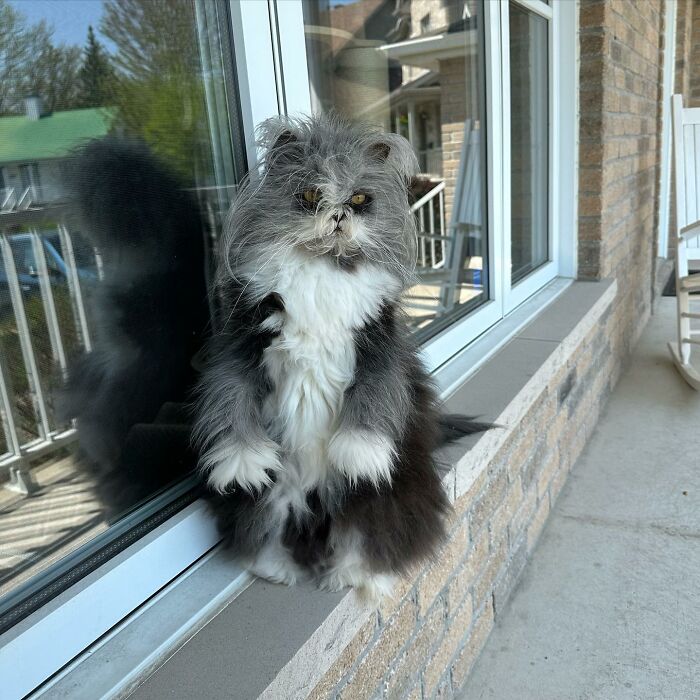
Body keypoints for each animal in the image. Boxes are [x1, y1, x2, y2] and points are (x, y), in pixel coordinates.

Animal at [191, 116, 486, 600]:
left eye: (360, 199)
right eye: (312, 195)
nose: (338, 214)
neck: (323, 266)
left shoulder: (380, 350)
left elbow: (372, 398)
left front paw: (357, 454)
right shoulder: (239, 348)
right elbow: (230, 398)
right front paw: (243, 464)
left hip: (377, 499)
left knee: (370, 538)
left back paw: (351, 576)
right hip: (272, 499)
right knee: (264, 535)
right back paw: (280, 571)